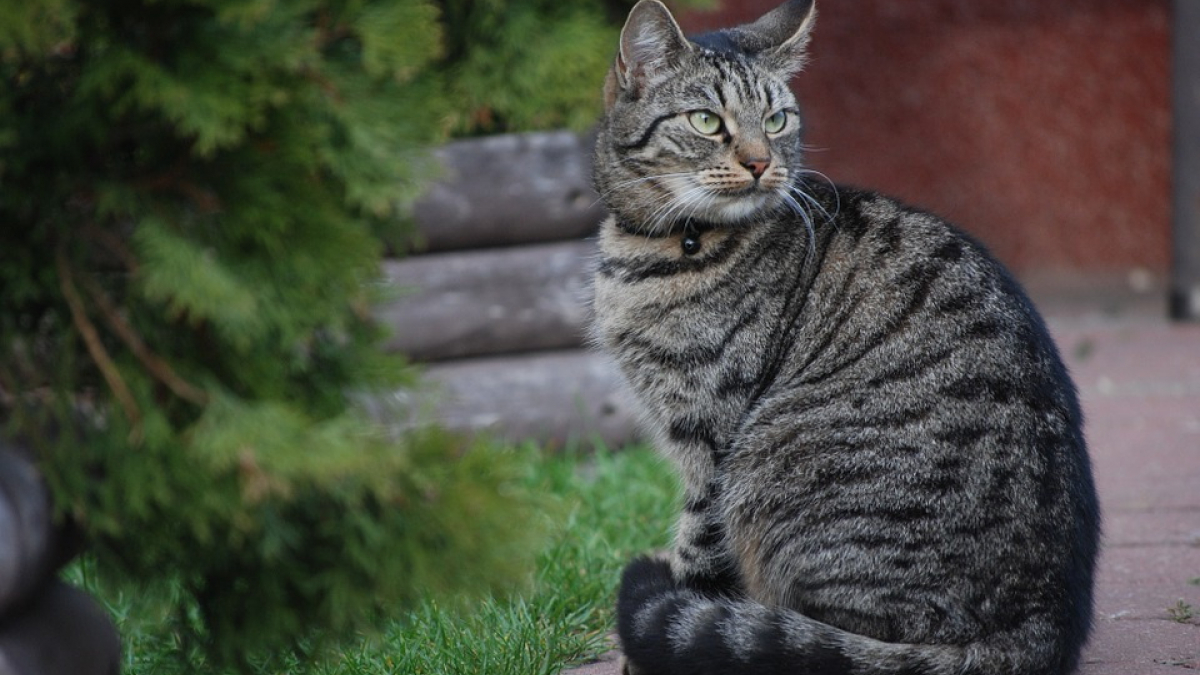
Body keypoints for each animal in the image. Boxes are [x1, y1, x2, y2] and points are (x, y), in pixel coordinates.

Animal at [588, 1, 1099, 672]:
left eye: (776, 119)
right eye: (706, 121)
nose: (761, 162)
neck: (657, 247)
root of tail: (1043, 624)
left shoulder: (711, 441)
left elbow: (696, 557)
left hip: (768, 470)